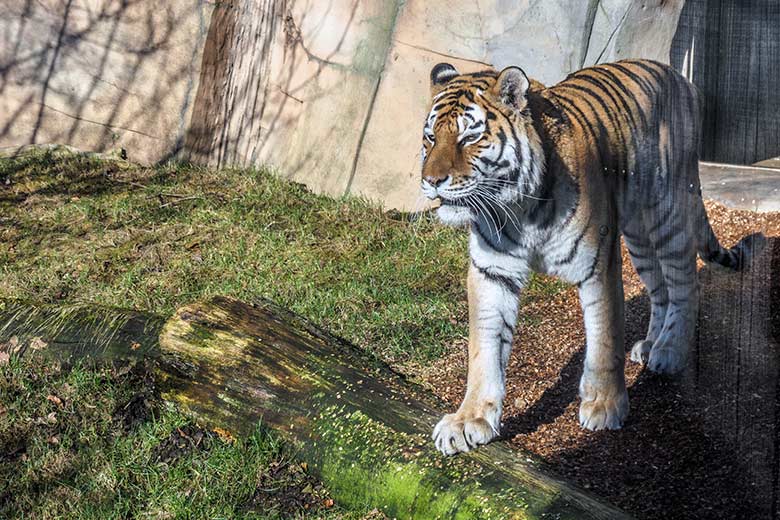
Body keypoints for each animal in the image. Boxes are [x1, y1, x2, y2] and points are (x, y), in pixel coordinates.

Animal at [424, 58, 764, 456]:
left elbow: (604, 339)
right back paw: (651, 344)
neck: (521, 211)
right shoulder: (492, 272)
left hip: (667, 212)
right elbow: (484, 349)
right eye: (430, 137)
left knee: (685, 285)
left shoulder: (597, 264)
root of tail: (679, 76)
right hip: (637, 232)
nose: (430, 180)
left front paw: (604, 406)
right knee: (660, 290)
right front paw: (470, 419)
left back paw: (670, 351)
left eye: (469, 138)